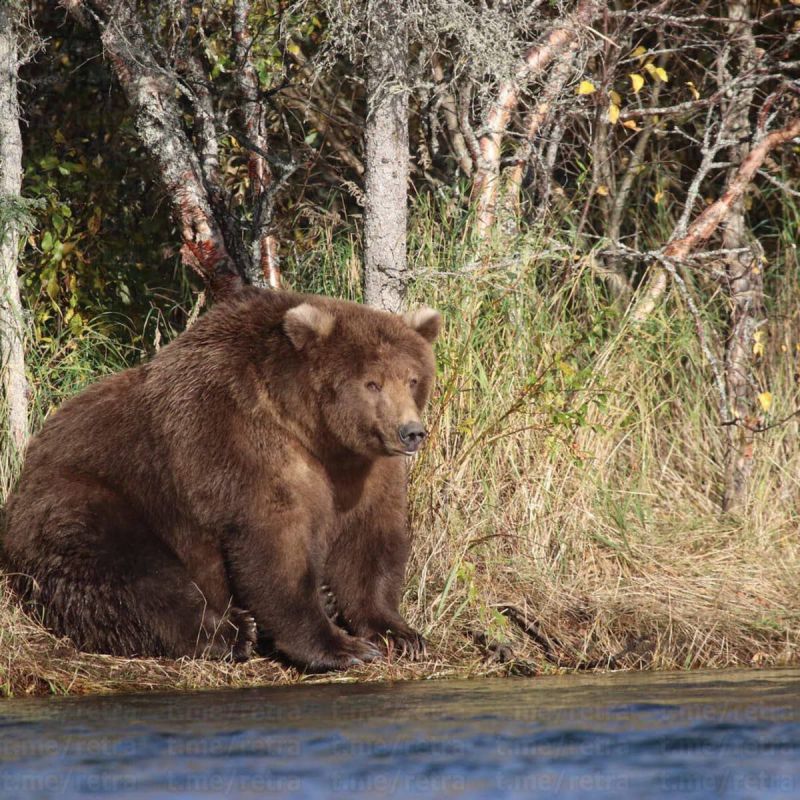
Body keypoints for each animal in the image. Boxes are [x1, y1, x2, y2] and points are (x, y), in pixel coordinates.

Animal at [1, 287, 440, 671]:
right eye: (372, 382)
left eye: (413, 378)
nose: (410, 432)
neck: (313, 431)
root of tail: (24, 473)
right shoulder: (239, 441)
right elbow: (274, 544)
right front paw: (342, 647)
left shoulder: (363, 470)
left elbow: (370, 541)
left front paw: (399, 633)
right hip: (89, 499)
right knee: (133, 574)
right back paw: (232, 632)